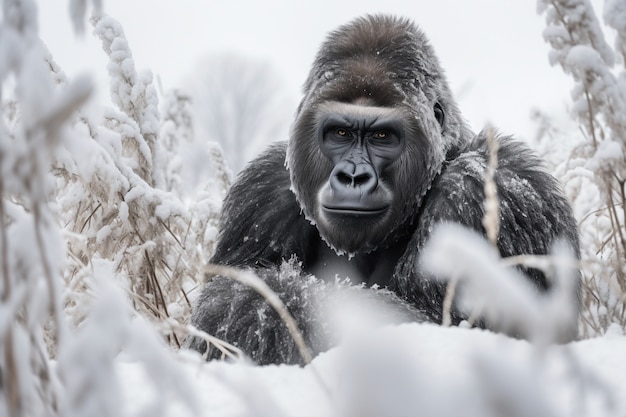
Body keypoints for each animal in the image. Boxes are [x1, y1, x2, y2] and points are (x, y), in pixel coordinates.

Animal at [184, 14, 576, 362]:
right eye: (340, 133)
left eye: (382, 137)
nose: (353, 177)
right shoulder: (260, 192)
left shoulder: (486, 188)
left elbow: (439, 334)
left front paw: (274, 301)